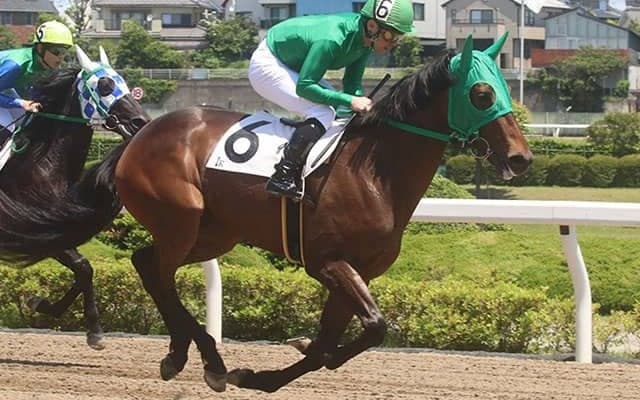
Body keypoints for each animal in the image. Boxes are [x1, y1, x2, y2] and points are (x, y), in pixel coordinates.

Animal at [0, 46, 149, 349]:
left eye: (126, 82)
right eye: (105, 85)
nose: (141, 121)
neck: (40, 164)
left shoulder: (53, 230)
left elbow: (84, 269)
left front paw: (44, 305)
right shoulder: (30, 230)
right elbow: (82, 266)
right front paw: (93, 329)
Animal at [114, 33, 533, 392]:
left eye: (504, 86)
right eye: (482, 93)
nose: (521, 158)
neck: (372, 173)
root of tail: (143, 133)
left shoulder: (359, 270)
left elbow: (337, 342)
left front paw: (267, 373)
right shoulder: (327, 262)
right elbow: (374, 327)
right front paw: (289, 355)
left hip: (214, 233)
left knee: (146, 263)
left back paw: (188, 356)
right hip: (180, 222)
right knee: (161, 273)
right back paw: (204, 360)